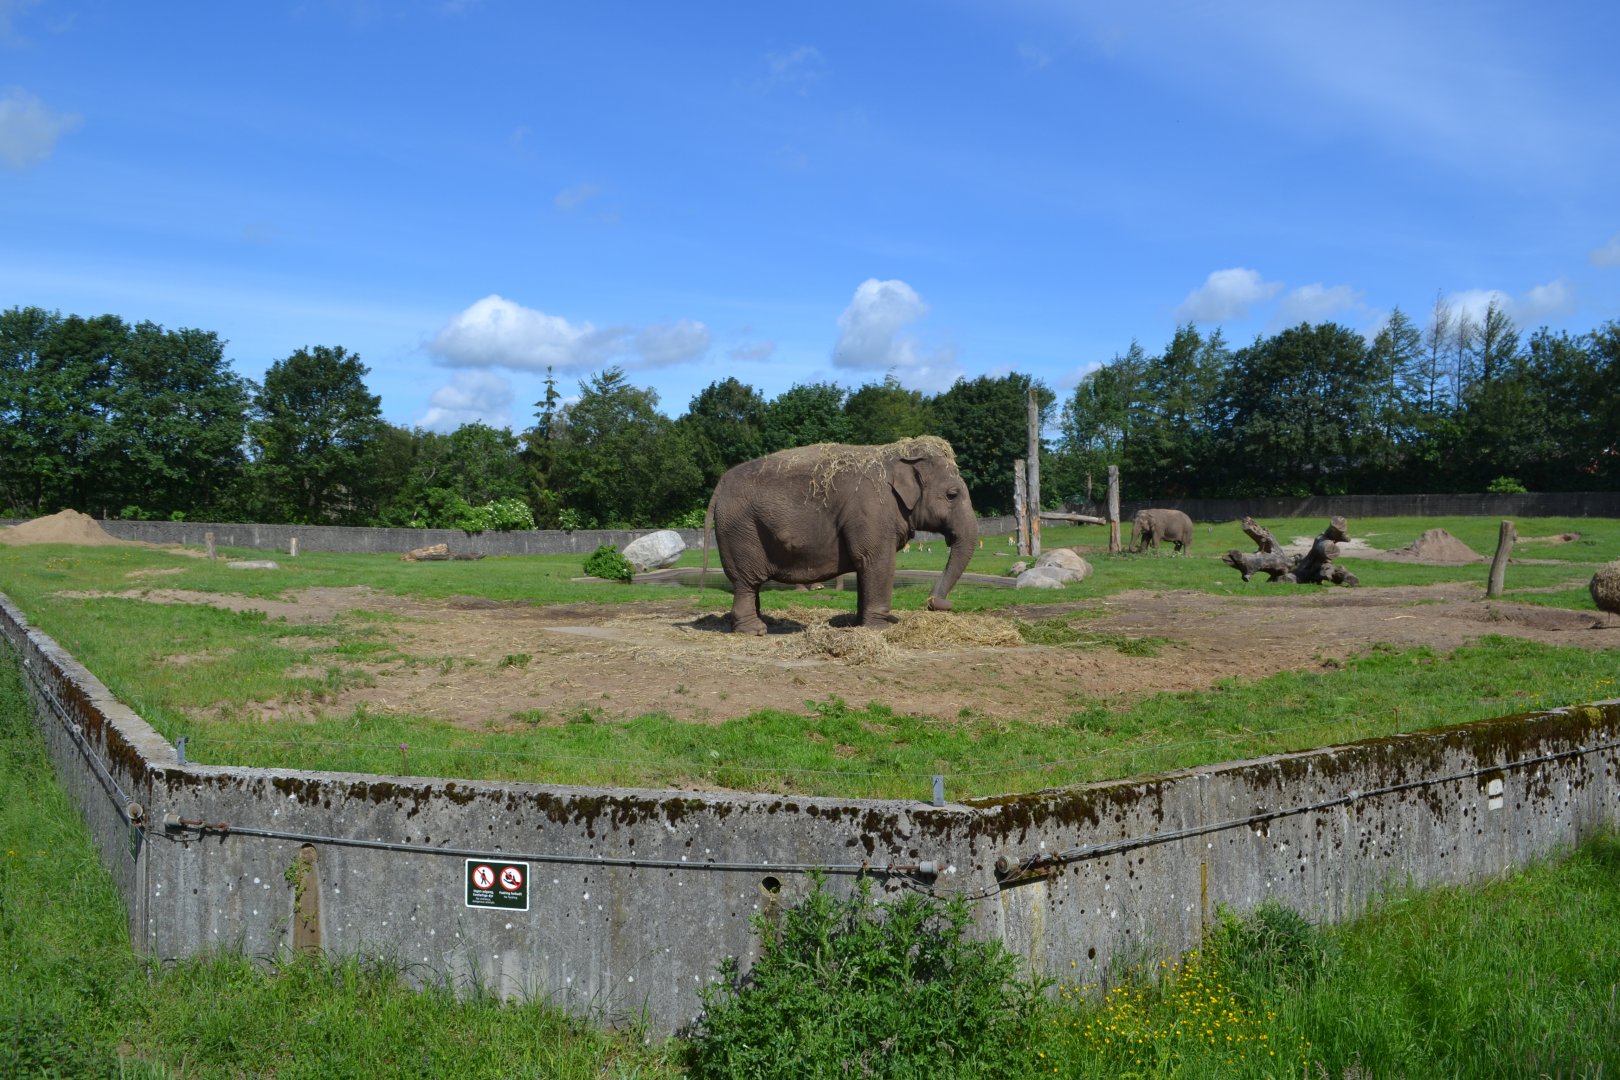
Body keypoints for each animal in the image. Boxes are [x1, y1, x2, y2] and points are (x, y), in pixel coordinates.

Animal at [710, 436, 979, 635]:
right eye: (952, 494)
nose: (938, 604)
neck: (897, 454)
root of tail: (720, 484)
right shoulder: (872, 510)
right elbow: (878, 561)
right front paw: (879, 629)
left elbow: (864, 565)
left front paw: (857, 624)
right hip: (740, 530)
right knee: (746, 581)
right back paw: (754, 630)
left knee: (749, 585)